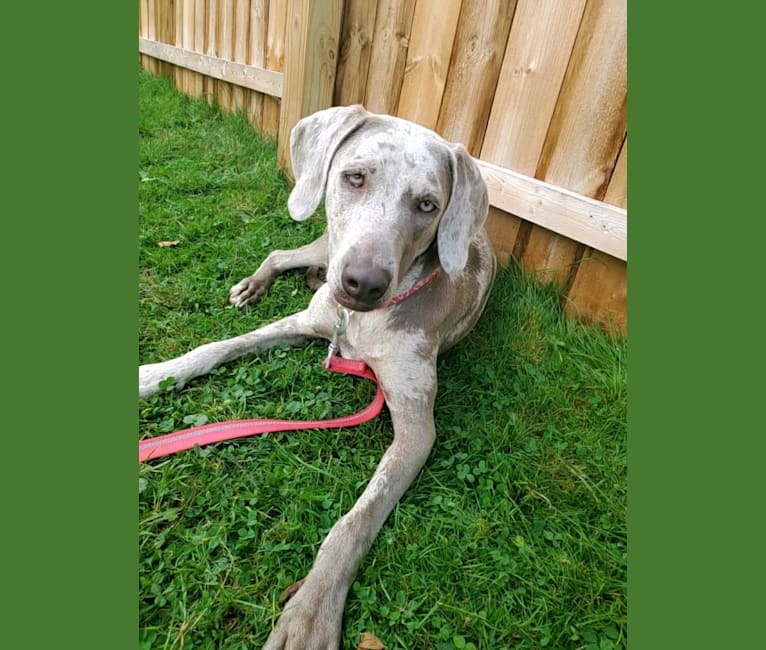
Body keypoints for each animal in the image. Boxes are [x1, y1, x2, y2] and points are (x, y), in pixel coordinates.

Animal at [138, 106, 498, 648]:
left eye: (427, 205)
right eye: (355, 177)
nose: (363, 284)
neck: (360, 326)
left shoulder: (417, 428)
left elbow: (354, 522)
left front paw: (310, 613)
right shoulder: (305, 321)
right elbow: (216, 347)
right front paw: (157, 373)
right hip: (325, 245)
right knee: (284, 254)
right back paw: (255, 284)